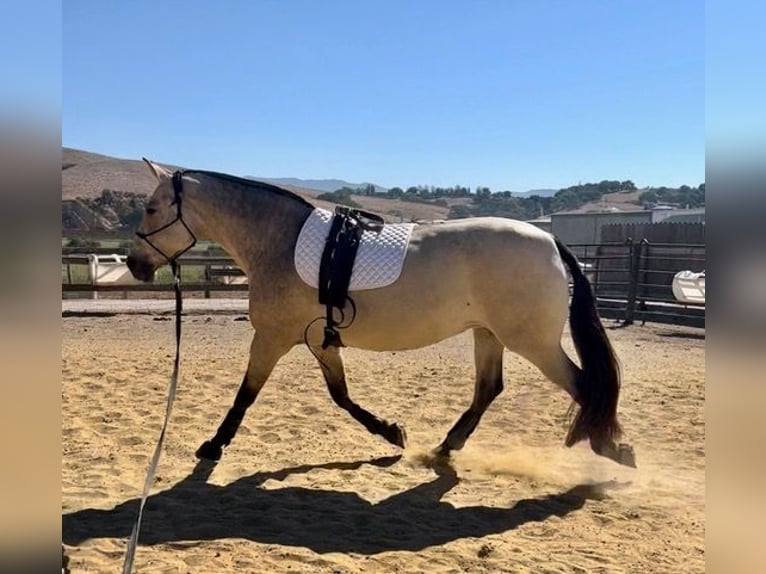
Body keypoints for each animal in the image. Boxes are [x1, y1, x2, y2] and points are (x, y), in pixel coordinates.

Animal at [129, 160, 640, 470]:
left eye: (152, 208)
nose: (135, 265)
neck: (280, 241)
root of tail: (550, 240)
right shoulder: (318, 340)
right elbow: (341, 396)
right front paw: (393, 433)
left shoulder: (272, 339)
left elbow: (246, 394)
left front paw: (213, 446)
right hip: (488, 333)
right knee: (488, 389)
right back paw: (444, 448)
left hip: (531, 342)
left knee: (583, 386)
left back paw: (610, 447)